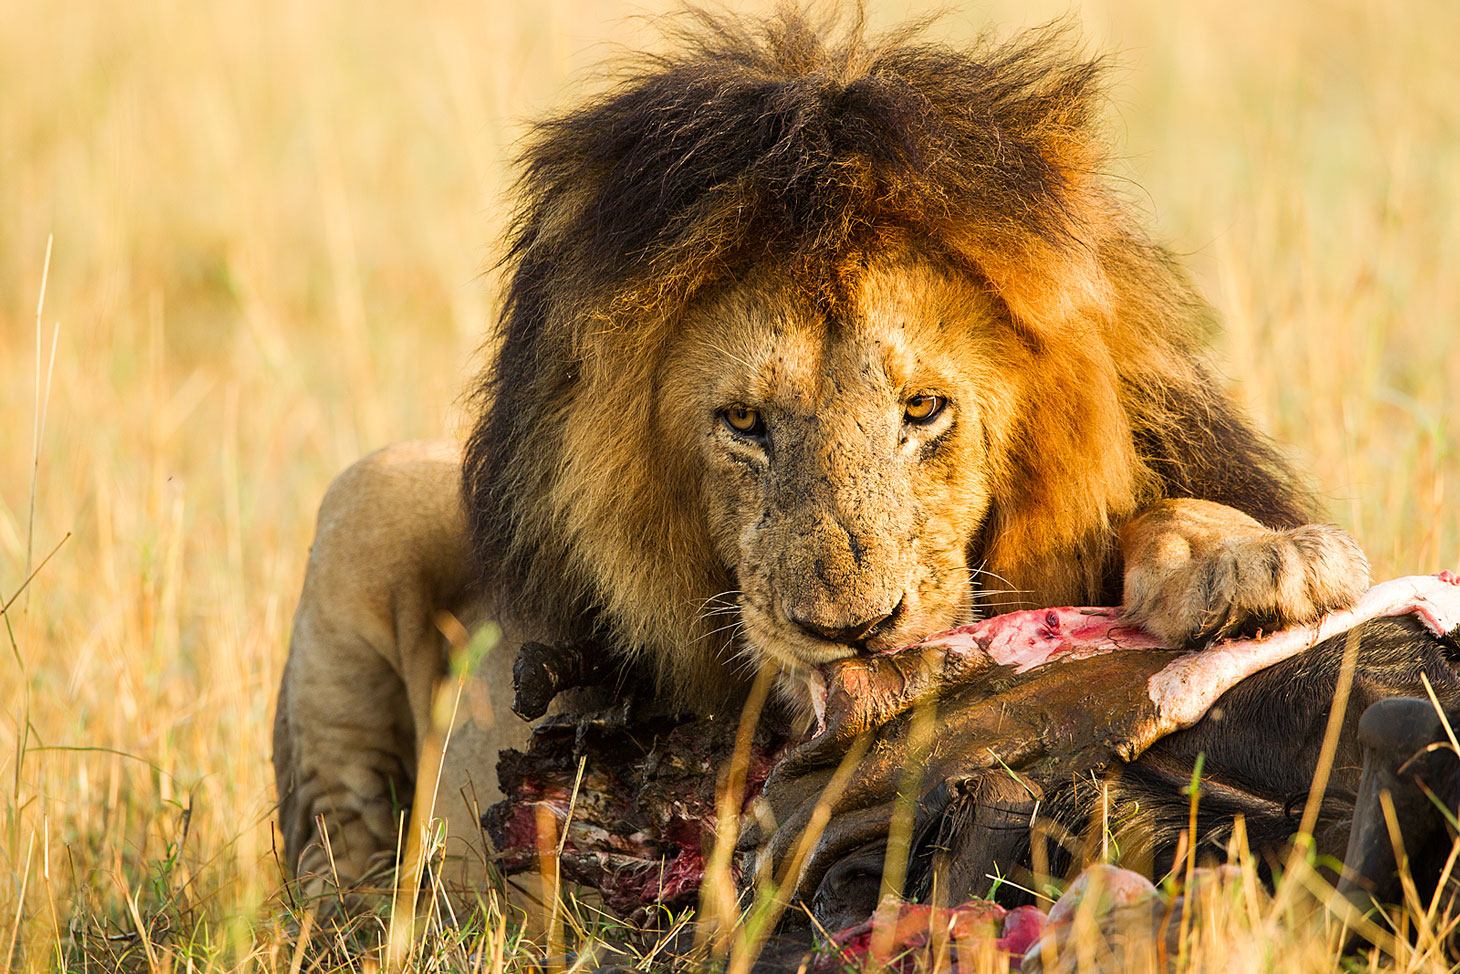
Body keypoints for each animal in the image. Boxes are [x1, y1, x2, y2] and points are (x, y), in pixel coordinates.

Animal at [271, 9, 1366, 905]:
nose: (853, 633)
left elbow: (1178, 514)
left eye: (922, 408)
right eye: (744, 422)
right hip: (371, 490)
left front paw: (1258, 562)